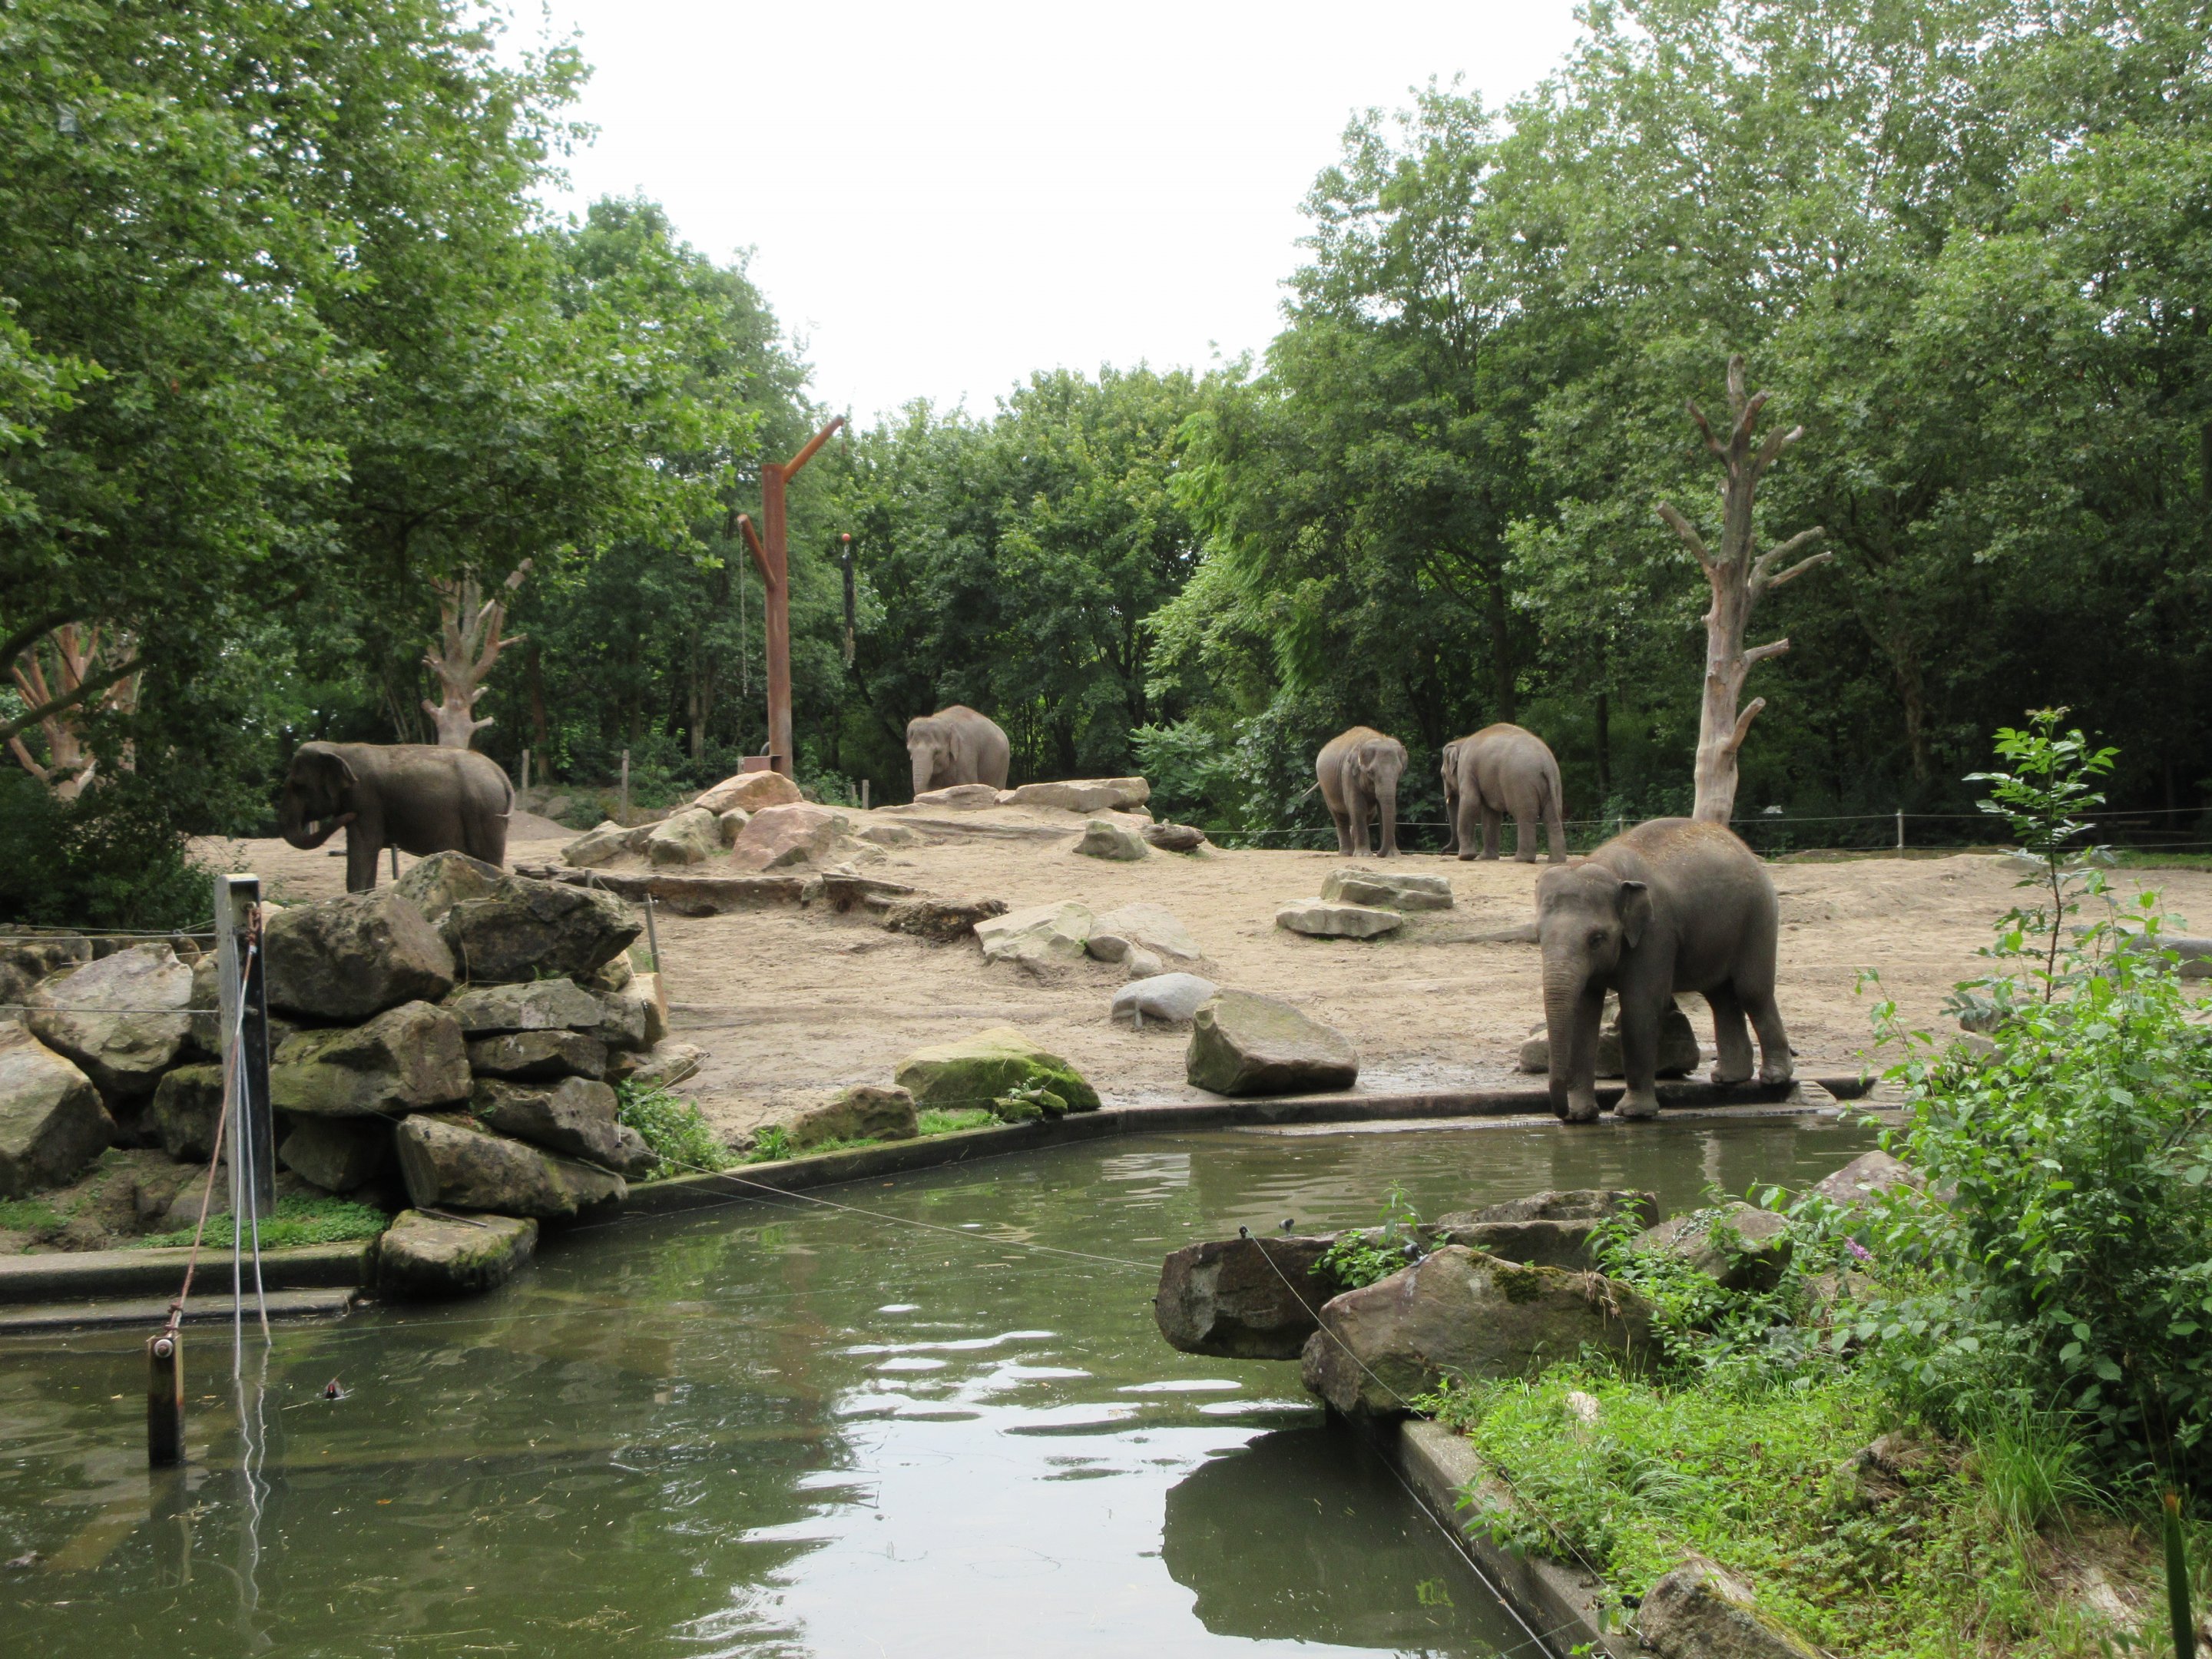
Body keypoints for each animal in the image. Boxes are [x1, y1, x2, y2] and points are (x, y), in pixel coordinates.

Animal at [278, 741, 513, 894]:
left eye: (298, 787)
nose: (348, 814)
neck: (337, 748)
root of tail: (501, 775)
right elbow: (368, 850)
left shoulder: (366, 801)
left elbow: (364, 845)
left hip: (485, 812)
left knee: (489, 857)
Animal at [906, 705, 1011, 798]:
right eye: (909, 751)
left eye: (936, 752)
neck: (944, 722)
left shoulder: (965, 753)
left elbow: (967, 783)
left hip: (1001, 762)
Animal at [1316, 727, 1408, 857]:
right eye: (1370, 772)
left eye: (1399, 772)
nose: (1378, 854)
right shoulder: (1348, 773)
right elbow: (1357, 807)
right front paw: (1363, 855)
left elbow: (1381, 810)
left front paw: (1393, 855)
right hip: (1326, 788)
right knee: (1340, 816)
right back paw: (1346, 853)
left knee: (1370, 814)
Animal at [1449, 724, 1567, 863]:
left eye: (1442, 774)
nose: (1443, 852)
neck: (1462, 741)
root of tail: (1546, 763)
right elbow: (1491, 813)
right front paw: (1486, 858)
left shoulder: (1467, 767)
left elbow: (1471, 802)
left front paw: (1465, 857)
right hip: (1555, 784)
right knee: (1552, 817)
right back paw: (1556, 861)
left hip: (1521, 783)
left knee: (1524, 816)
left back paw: (1522, 859)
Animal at [1535, 817, 1791, 1123]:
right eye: (1538, 937)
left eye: (1597, 939)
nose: (1561, 1113)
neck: (1607, 867)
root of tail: (1744, 848)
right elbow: (1584, 1012)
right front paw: (1580, 1117)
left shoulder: (1656, 933)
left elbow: (1640, 1007)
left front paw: (1633, 1113)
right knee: (1720, 997)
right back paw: (1728, 1078)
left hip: (1759, 916)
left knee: (1752, 992)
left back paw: (1774, 1079)